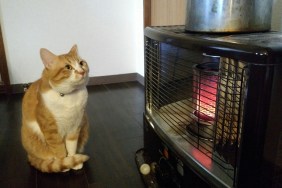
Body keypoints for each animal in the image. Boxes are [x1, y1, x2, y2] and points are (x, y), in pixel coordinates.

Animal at [21, 44, 89, 173]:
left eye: (81, 63)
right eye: (68, 67)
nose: (82, 71)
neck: (68, 96)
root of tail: (29, 155)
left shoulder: (75, 126)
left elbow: (71, 146)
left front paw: (73, 159)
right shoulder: (50, 130)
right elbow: (59, 149)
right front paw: (64, 164)